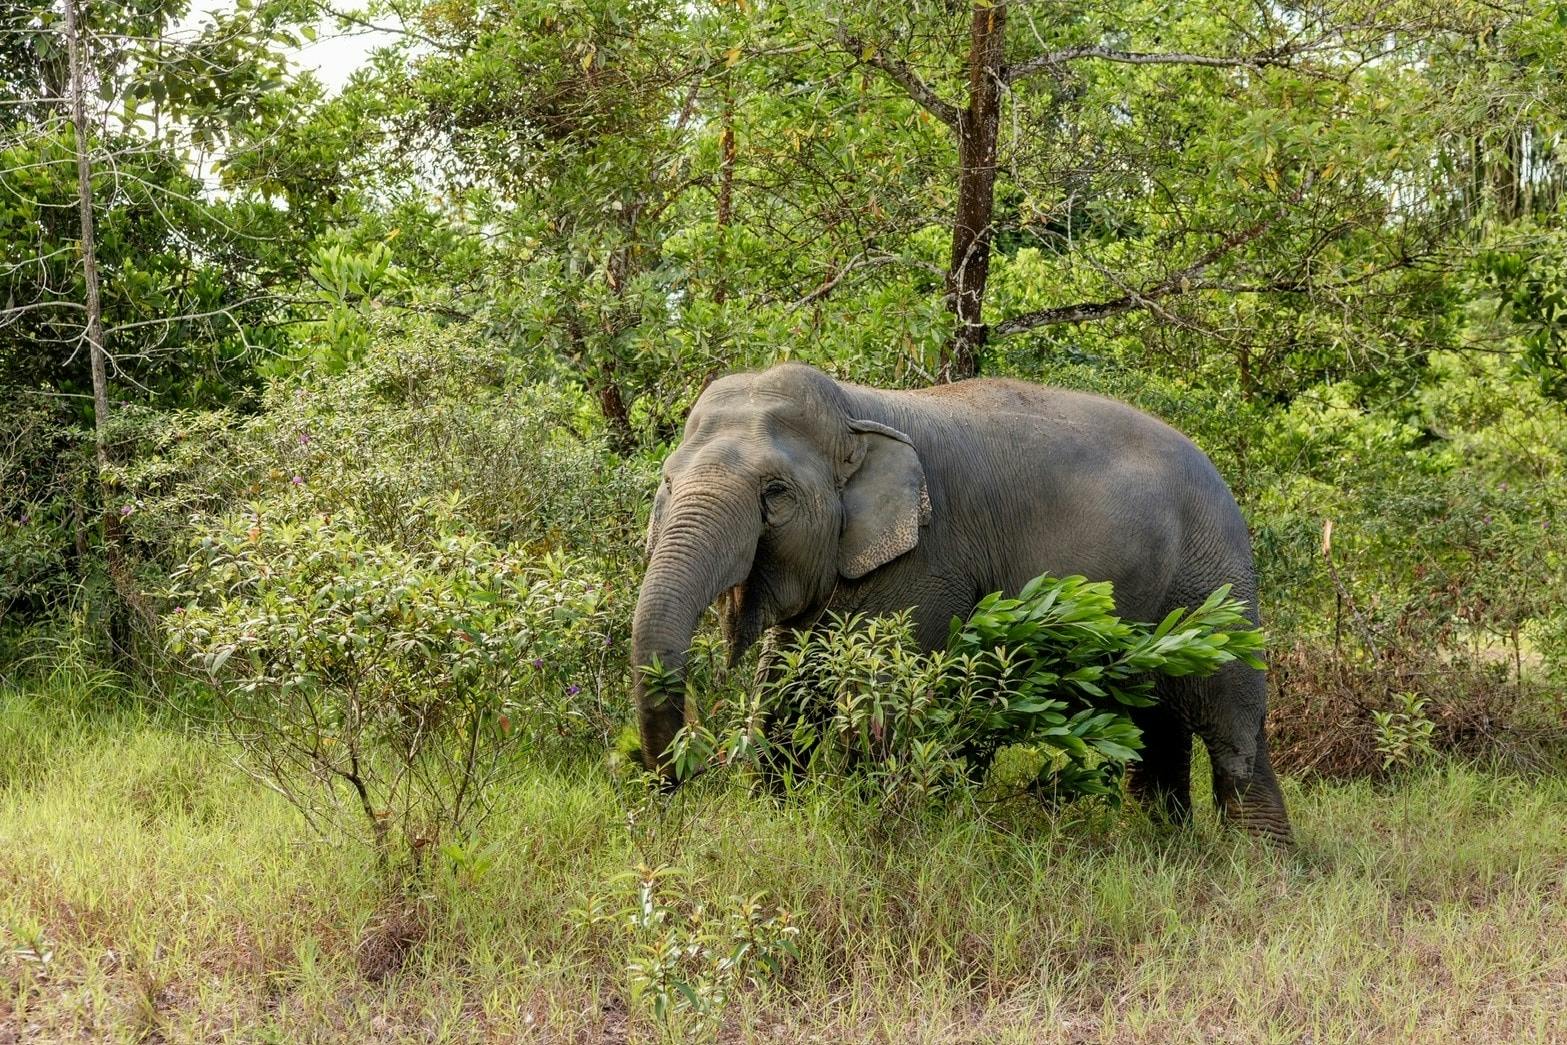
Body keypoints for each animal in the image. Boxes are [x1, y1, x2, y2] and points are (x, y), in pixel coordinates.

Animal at [630, 362, 1292, 843]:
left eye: (775, 493)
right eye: (666, 483)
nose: (674, 787)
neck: (855, 407)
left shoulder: (930, 563)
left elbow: (888, 702)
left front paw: (880, 826)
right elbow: (788, 690)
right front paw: (776, 813)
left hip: (1214, 579)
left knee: (1230, 720)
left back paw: (1260, 864)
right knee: (1155, 722)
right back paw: (1161, 842)